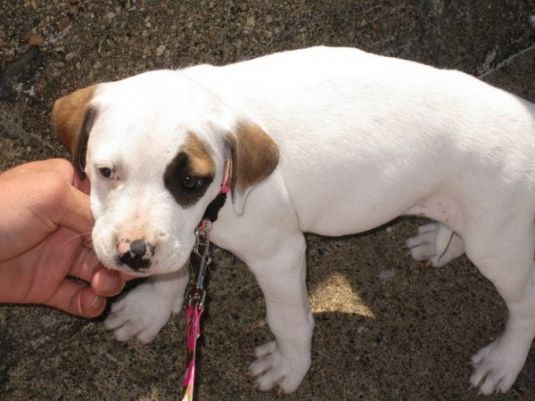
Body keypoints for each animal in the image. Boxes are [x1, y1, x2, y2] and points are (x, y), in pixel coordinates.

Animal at [52, 47, 535, 394]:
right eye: (105, 171)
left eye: (191, 181)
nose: (133, 254)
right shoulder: (185, 236)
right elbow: (172, 268)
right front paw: (152, 307)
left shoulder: (279, 255)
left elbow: (287, 319)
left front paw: (289, 366)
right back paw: (438, 241)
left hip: (500, 242)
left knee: (524, 304)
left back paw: (503, 361)